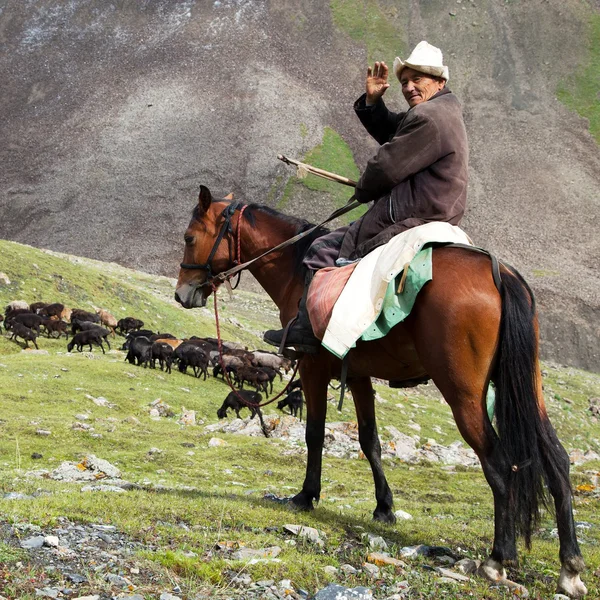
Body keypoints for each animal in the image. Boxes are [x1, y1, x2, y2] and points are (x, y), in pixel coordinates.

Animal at [173, 186, 584, 596]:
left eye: (189, 238)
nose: (181, 294)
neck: (294, 268)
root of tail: (499, 273)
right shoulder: (356, 375)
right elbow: (369, 440)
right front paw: (384, 508)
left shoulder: (313, 367)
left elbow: (314, 434)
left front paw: (306, 495)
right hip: (529, 388)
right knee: (557, 460)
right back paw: (570, 567)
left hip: (463, 394)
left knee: (498, 462)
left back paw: (499, 558)